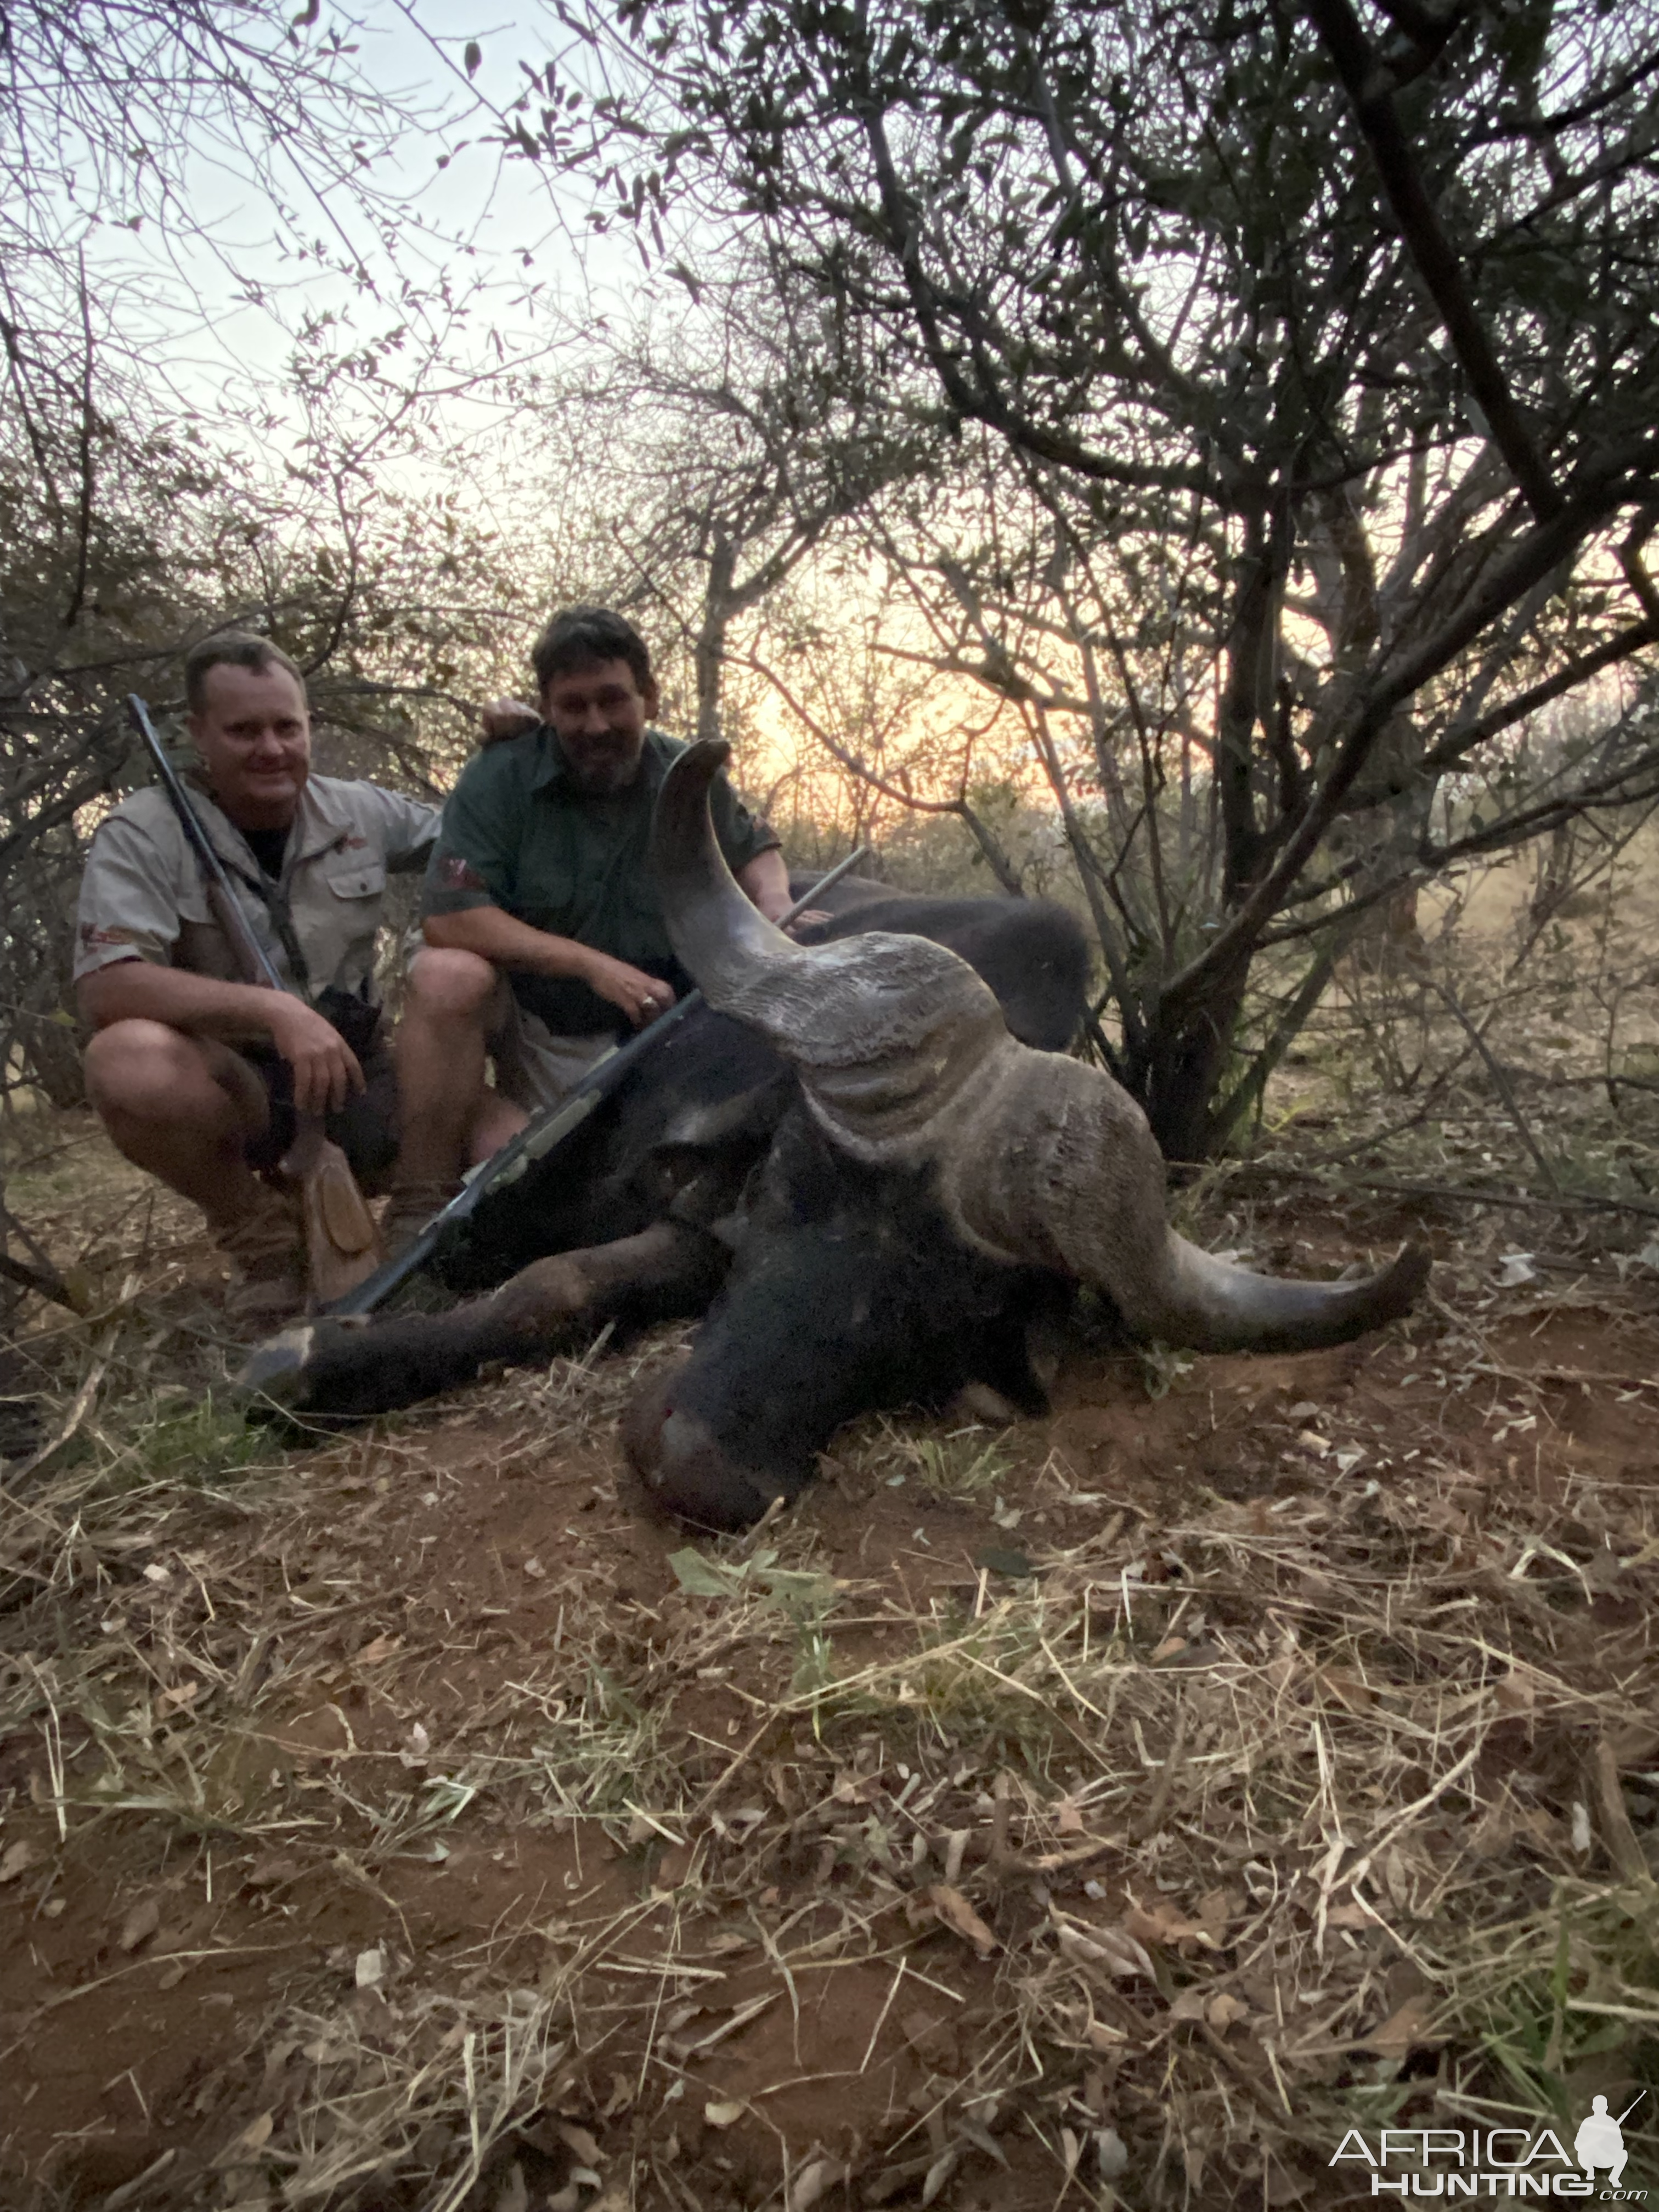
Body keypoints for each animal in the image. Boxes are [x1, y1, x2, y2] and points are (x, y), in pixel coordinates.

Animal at [243, 738, 1433, 1522]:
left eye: (943, 1304)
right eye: (788, 1187)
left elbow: (570, 1289)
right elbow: (541, 1283)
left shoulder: (689, 1245)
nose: (692, 1463)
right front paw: (307, 1359)